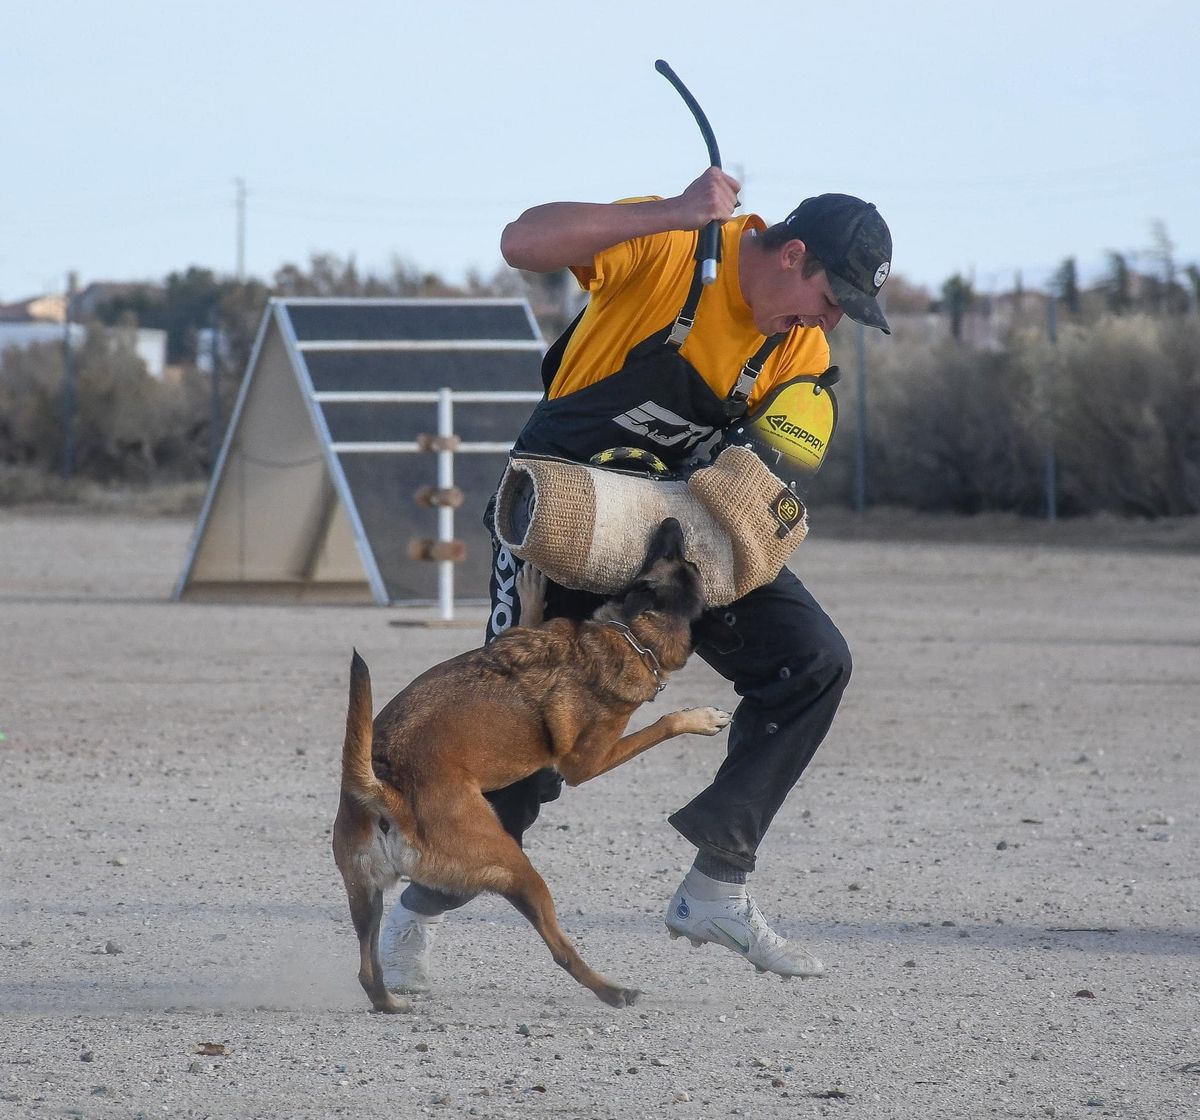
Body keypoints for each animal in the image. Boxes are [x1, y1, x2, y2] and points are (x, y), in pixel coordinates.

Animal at [333, 520, 734, 1008]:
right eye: (682, 560)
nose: (671, 524)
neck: (630, 637)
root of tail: (388, 791)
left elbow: (521, 623)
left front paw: (529, 594)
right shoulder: (587, 764)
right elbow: (662, 724)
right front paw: (700, 718)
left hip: (365, 896)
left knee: (366, 969)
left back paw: (389, 1003)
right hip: (518, 869)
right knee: (561, 951)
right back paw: (612, 990)